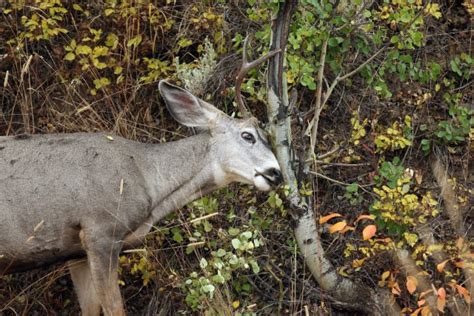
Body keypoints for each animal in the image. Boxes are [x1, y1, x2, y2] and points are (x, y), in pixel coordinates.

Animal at [0, 42, 282, 316]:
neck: (147, 178)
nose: (276, 173)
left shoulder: (75, 252)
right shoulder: (100, 232)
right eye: (248, 135)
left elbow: (90, 309)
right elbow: (115, 309)